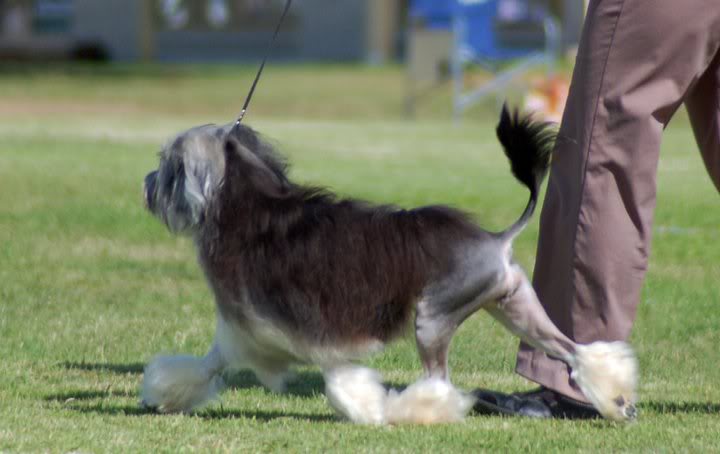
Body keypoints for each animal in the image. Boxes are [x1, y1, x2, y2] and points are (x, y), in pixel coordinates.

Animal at [139, 108, 636, 424]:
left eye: (168, 165)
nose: (145, 185)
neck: (246, 206)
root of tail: (496, 241)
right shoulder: (239, 335)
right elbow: (204, 367)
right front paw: (163, 396)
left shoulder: (313, 332)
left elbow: (340, 379)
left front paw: (369, 410)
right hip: (516, 308)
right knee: (575, 352)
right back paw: (616, 399)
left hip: (433, 318)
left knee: (440, 381)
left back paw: (411, 410)